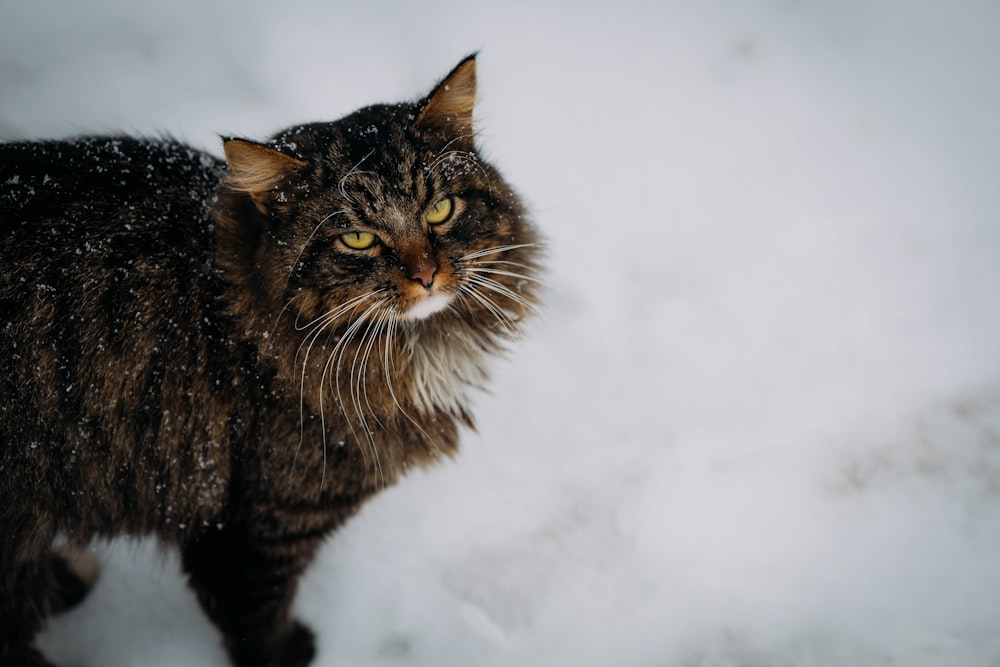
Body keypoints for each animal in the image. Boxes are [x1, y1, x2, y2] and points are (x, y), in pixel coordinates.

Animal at [0, 56, 540, 667]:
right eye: (358, 239)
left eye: (440, 209)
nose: (426, 275)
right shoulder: (251, 533)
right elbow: (258, 622)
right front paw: (293, 651)